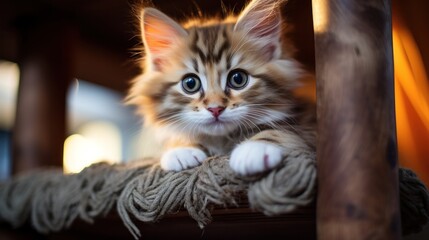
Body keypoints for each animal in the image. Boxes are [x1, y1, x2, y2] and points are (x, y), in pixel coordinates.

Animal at [126, 0, 314, 176]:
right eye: (190, 84)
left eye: (238, 79)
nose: (215, 109)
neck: (222, 141)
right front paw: (181, 148)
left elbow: (279, 132)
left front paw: (254, 148)